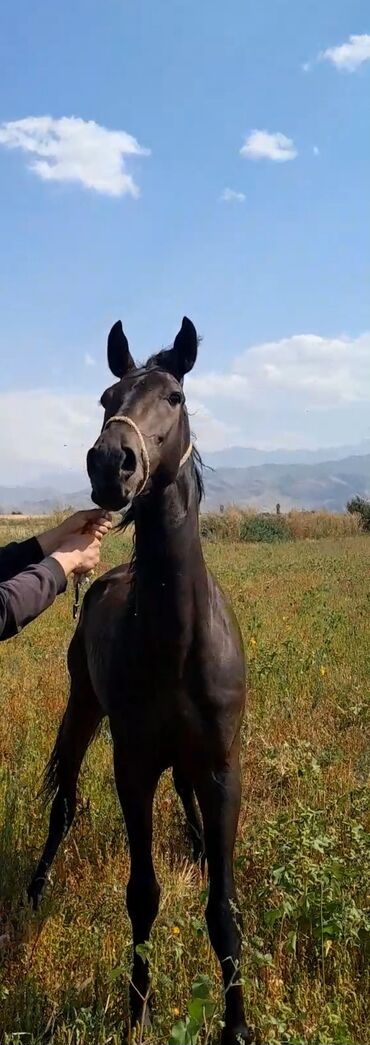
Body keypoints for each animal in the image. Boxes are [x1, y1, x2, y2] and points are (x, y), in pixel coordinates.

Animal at [27, 317, 249, 1045]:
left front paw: (236, 1024)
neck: (178, 640)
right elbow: (142, 894)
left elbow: (222, 906)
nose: (110, 464)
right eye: (105, 397)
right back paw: (35, 889)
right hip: (82, 709)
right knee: (64, 799)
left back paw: (199, 845)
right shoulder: (134, 765)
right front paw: (137, 1008)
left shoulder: (220, 766)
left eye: (175, 397)